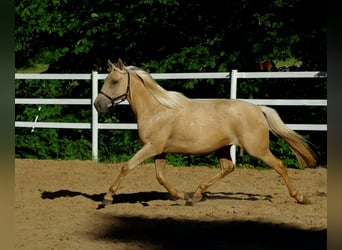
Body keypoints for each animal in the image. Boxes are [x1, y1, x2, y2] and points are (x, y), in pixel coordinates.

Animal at [93, 59, 316, 207]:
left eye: (114, 81)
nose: (97, 104)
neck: (157, 110)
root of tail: (258, 109)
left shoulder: (151, 147)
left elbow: (127, 167)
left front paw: (107, 197)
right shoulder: (160, 151)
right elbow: (161, 177)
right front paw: (182, 196)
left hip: (257, 149)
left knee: (279, 165)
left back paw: (300, 197)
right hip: (224, 148)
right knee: (228, 168)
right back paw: (197, 194)